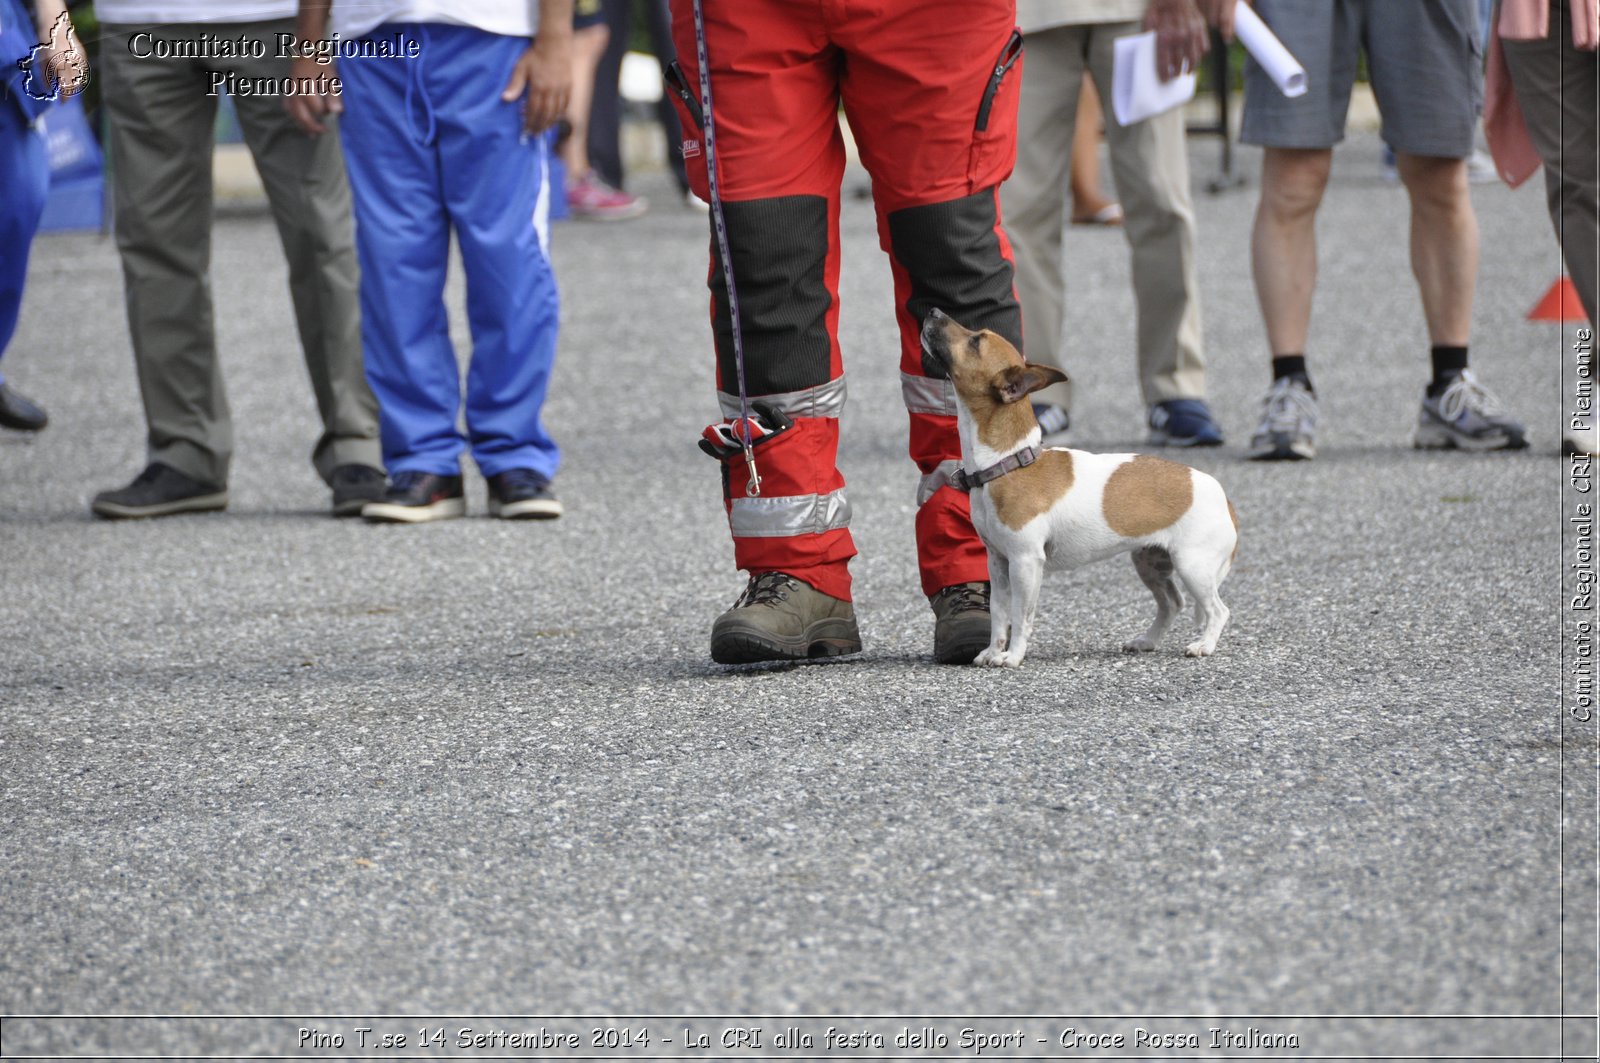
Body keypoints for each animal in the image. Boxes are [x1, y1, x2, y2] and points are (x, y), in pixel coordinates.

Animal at [921, 307, 1241, 665]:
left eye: (976, 341)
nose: (933, 310)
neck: (1009, 462)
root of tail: (1223, 498)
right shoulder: (999, 563)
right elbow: (999, 614)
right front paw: (992, 651)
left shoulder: (1025, 563)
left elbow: (1020, 617)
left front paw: (1013, 657)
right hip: (1150, 563)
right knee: (1172, 603)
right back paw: (1146, 641)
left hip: (1192, 566)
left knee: (1217, 610)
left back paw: (1204, 645)